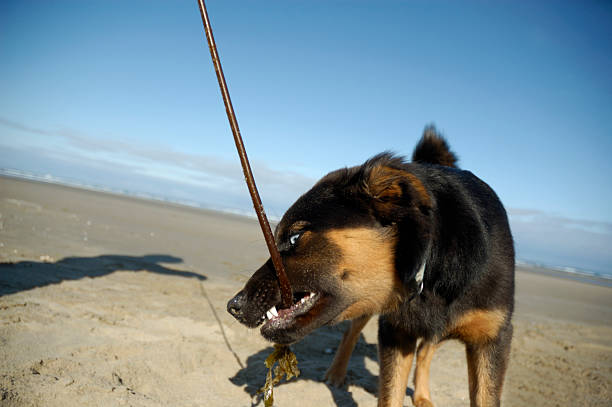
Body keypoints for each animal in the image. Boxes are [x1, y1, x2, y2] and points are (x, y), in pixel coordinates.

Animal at [227, 126, 512, 406]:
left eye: (295, 237)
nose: (233, 306)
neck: (429, 269)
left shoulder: (491, 339)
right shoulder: (395, 332)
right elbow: (390, 395)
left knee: (426, 350)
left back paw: (422, 395)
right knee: (350, 335)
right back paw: (336, 373)